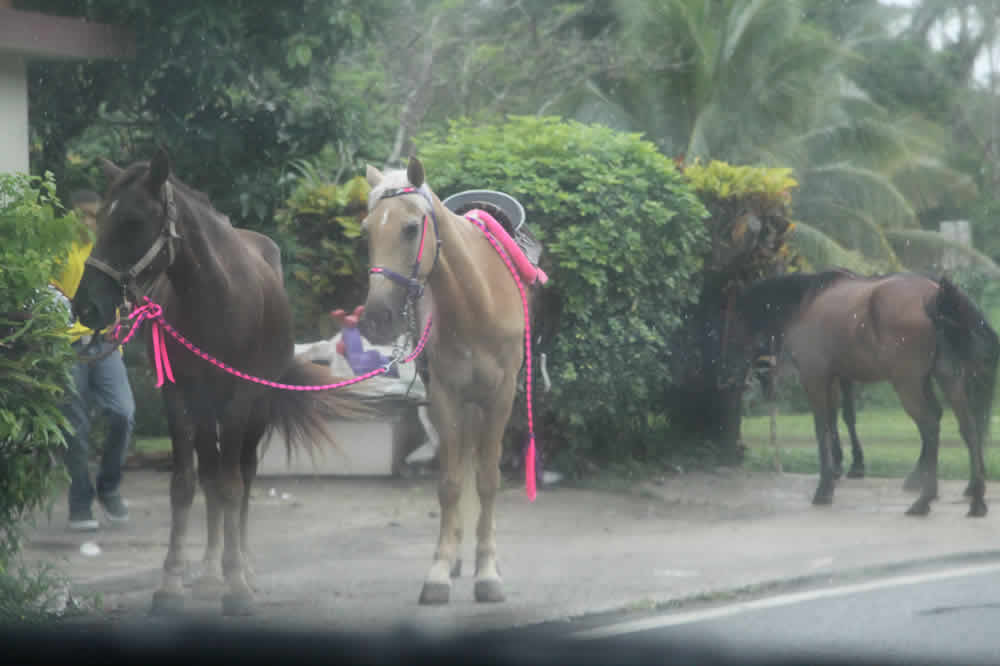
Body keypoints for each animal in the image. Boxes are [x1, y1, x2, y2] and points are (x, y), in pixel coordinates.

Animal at [73, 148, 378, 616]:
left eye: (133, 221)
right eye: (102, 217)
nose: (85, 305)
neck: (213, 298)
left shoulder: (241, 397)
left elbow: (234, 485)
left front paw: (236, 584)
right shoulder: (178, 396)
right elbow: (187, 484)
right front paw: (172, 582)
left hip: (256, 409)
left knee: (244, 474)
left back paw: (242, 568)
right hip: (207, 409)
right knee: (213, 473)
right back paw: (208, 571)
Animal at [360, 158, 544, 604]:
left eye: (411, 228)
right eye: (366, 230)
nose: (375, 319)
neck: (477, 299)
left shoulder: (499, 397)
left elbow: (489, 480)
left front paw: (489, 571)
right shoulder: (445, 395)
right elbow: (450, 482)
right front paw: (441, 569)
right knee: (461, 461)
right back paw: (461, 555)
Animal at [728, 268, 1000, 512]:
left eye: (733, 325)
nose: (731, 377)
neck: (804, 305)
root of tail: (935, 296)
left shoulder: (815, 378)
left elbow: (822, 428)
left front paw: (825, 487)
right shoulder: (834, 378)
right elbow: (834, 422)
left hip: (908, 385)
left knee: (931, 426)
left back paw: (924, 500)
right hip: (947, 378)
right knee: (968, 428)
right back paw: (975, 498)